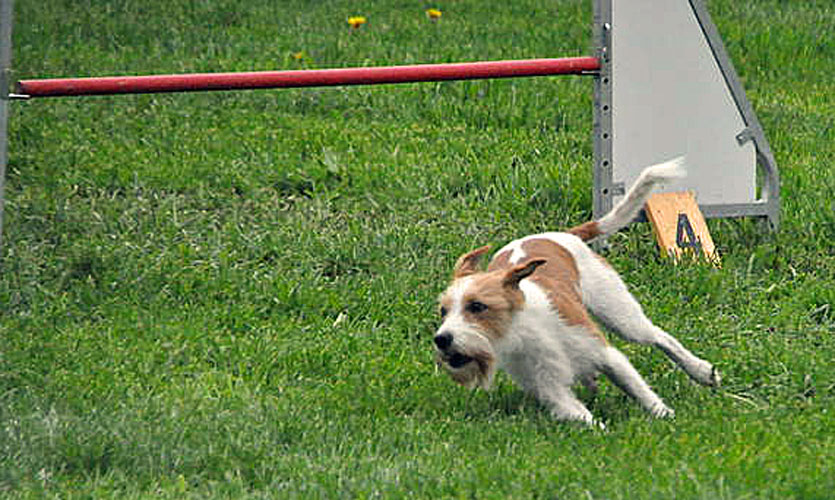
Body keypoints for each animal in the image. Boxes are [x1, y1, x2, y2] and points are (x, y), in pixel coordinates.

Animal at [433, 157, 720, 426]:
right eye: (443, 311)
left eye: (477, 306)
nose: (441, 339)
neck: (521, 331)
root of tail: (564, 234)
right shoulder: (552, 391)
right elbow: (584, 418)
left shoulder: (608, 356)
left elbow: (640, 390)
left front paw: (664, 414)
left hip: (621, 315)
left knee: (660, 337)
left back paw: (701, 370)